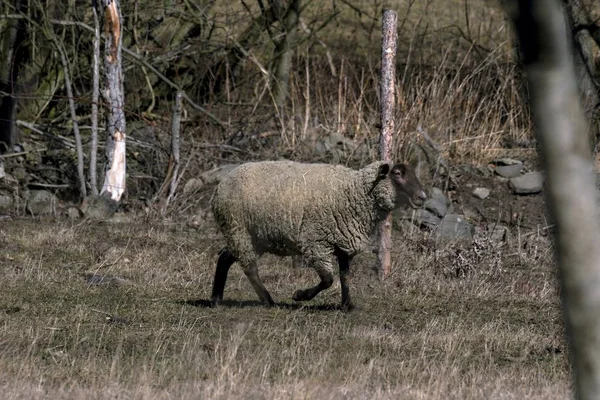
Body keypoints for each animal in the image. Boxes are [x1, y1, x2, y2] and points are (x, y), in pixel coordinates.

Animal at [211, 159, 426, 310]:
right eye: (397, 174)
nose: (422, 197)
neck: (354, 192)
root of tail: (219, 187)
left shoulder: (343, 243)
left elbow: (345, 276)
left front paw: (347, 305)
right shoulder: (316, 242)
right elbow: (328, 280)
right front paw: (300, 295)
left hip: (251, 236)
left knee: (224, 257)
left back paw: (216, 298)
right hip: (238, 228)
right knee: (249, 268)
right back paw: (267, 300)